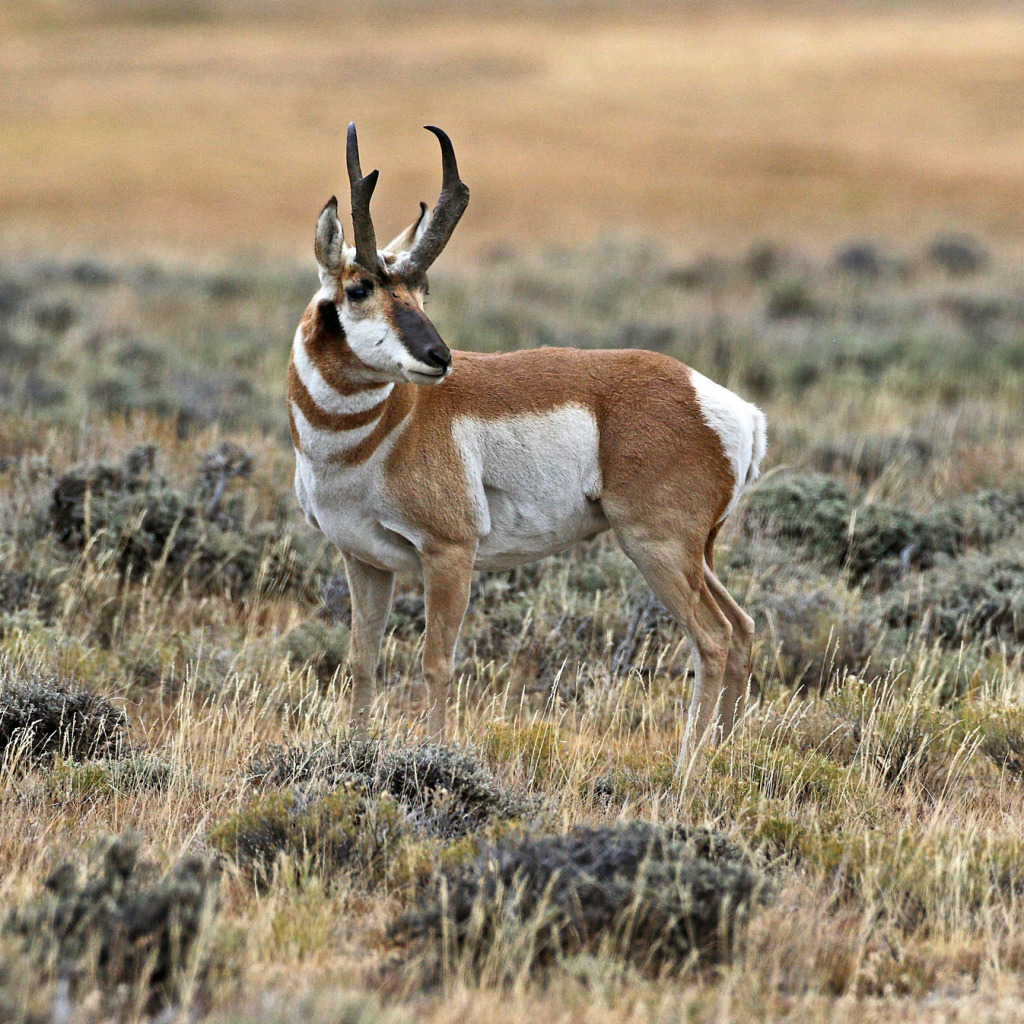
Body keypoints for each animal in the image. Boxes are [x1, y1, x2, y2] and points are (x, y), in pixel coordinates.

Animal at [290, 121, 770, 770]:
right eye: (360, 287)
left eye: (422, 289)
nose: (439, 358)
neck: (377, 432)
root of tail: (729, 407)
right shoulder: (364, 559)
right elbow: (363, 661)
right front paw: (356, 754)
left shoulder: (449, 553)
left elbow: (436, 663)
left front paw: (436, 757)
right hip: (697, 554)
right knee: (741, 628)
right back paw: (721, 758)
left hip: (657, 548)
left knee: (714, 639)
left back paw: (687, 769)